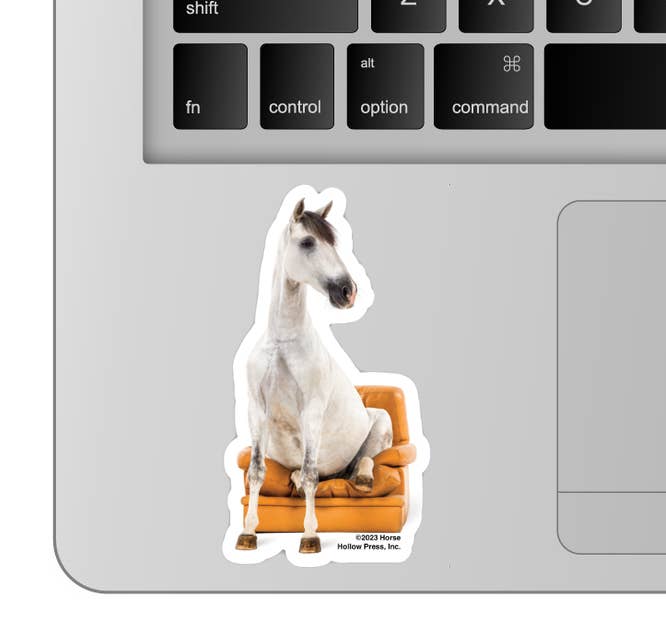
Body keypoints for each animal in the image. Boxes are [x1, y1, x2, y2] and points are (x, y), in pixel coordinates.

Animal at [236, 198, 393, 554]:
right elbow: (257, 472)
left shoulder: (312, 411)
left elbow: (311, 474)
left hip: (381, 426)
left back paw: (363, 480)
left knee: (364, 462)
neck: (283, 342)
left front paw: (309, 537)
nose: (348, 291)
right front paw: (248, 533)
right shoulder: (257, 411)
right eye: (308, 242)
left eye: (334, 242)